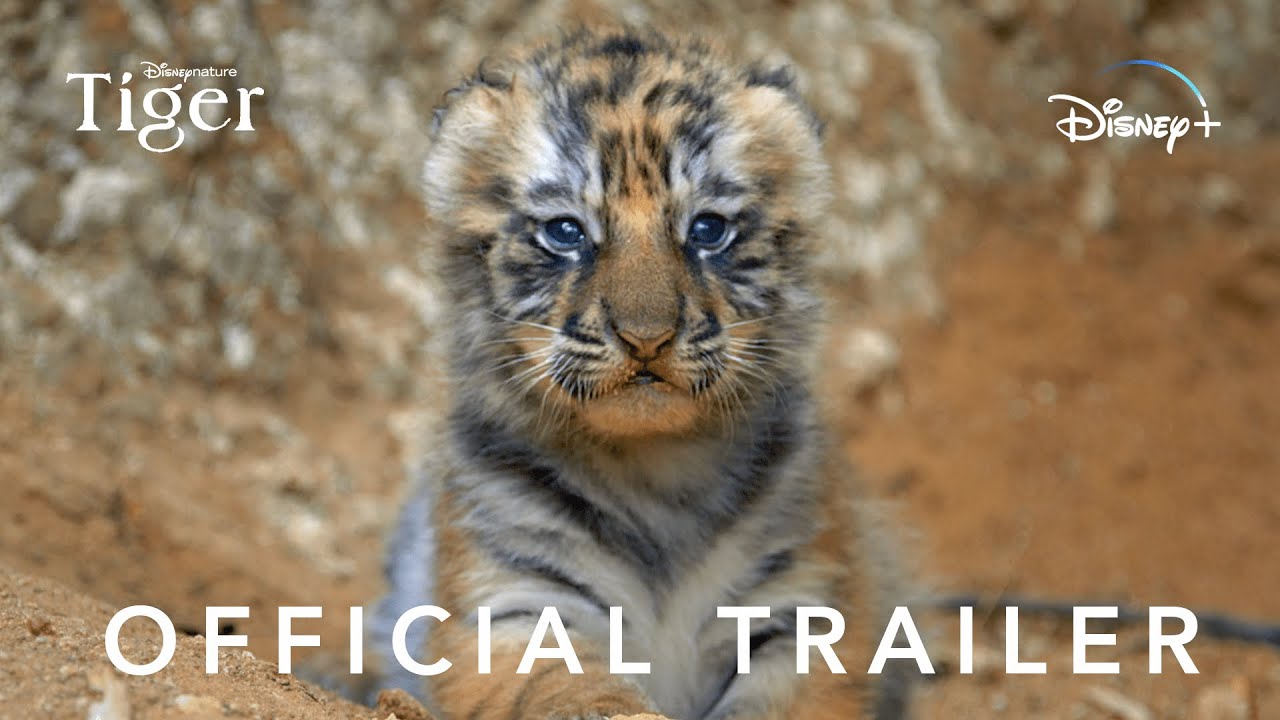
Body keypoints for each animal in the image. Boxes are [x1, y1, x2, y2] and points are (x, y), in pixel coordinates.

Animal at [369, 26, 913, 720]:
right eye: (566, 232)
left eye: (707, 229)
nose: (646, 337)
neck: (655, 472)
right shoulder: (512, 601)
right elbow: (577, 690)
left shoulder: (804, 605)